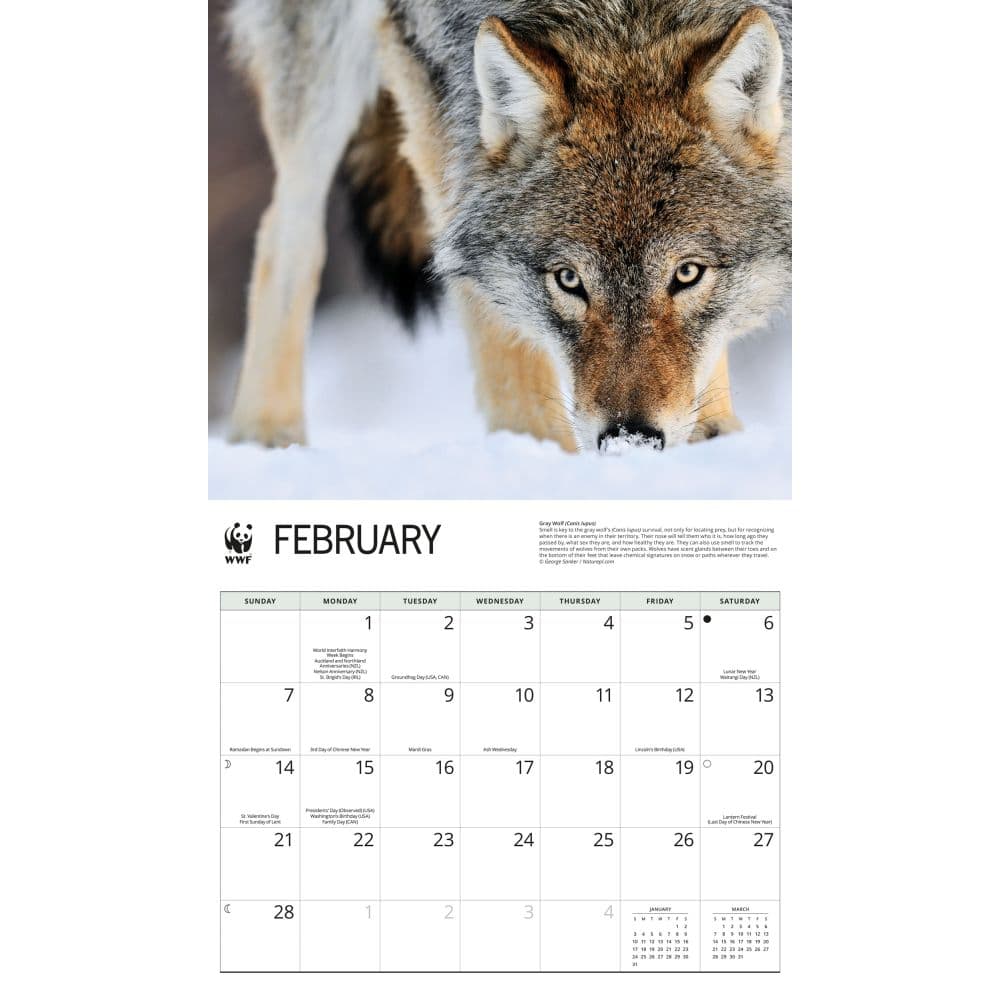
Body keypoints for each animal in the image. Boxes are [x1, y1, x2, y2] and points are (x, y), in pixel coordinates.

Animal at [225, 0, 791, 453]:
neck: (625, 19)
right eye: (569, 280)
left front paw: (711, 436)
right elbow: (501, 329)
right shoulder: (431, 73)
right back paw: (268, 440)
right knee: (287, 232)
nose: (630, 439)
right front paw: (539, 454)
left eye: (688, 274)